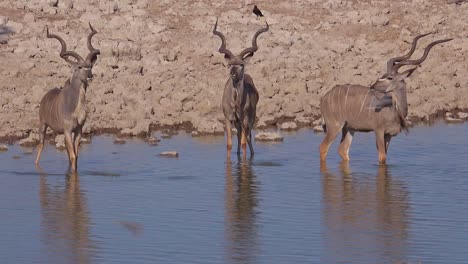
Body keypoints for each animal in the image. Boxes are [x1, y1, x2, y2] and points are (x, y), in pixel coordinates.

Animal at [35, 23, 100, 172]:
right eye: (79, 67)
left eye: (90, 66)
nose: (90, 76)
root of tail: (44, 98)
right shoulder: (67, 130)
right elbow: (73, 156)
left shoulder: (78, 130)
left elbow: (75, 156)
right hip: (43, 124)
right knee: (41, 145)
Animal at [213, 19, 268, 158]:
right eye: (230, 64)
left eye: (241, 64)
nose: (232, 73)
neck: (236, 102)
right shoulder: (228, 119)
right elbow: (229, 144)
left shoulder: (245, 120)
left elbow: (244, 143)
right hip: (238, 123)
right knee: (239, 136)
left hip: (251, 118)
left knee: (247, 137)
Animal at [320, 34, 452, 164]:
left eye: (389, 77)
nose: (372, 86)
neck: (394, 111)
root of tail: (324, 97)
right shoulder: (378, 131)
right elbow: (382, 158)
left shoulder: (389, 135)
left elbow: (385, 158)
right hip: (335, 126)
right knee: (323, 147)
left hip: (349, 128)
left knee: (342, 150)